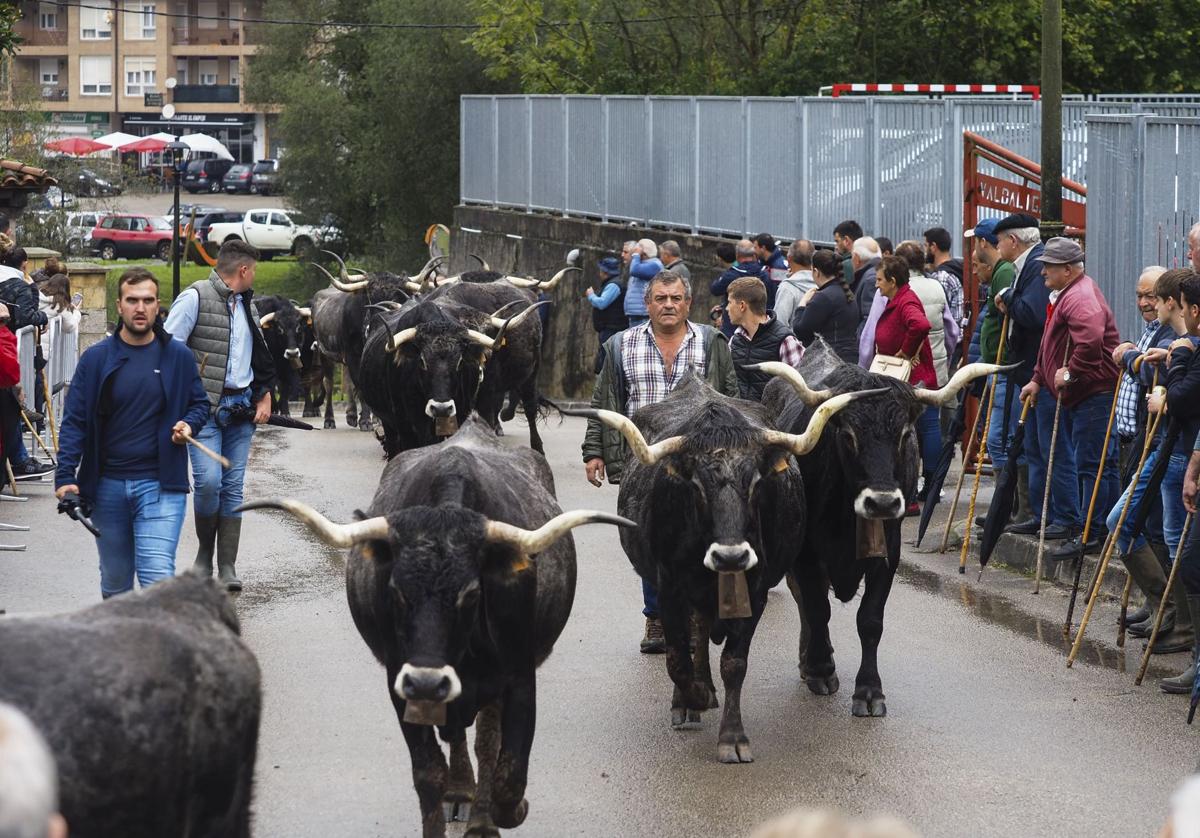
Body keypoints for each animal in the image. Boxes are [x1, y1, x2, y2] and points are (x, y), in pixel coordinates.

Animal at [241, 415, 638, 835]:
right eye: (396, 591)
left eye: (472, 593)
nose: (428, 682)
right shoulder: (401, 681)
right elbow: (429, 771)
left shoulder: (518, 674)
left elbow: (507, 772)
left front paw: (504, 814)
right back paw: (461, 790)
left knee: (486, 740)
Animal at [355, 291, 544, 453]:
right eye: (421, 361)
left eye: (460, 361)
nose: (441, 408)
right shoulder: (407, 424)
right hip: (390, 423)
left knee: (530, 408)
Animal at [566, 369, 878, 758]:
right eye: (697, 486)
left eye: (756, 482)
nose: (731, 556)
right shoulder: (669, 590)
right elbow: (677, 659)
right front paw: (692, 699)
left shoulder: (755, 591)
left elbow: (734, 663)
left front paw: (733, 736)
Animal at [758, 340, 1012, 720]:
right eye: (847, 434)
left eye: (905, 433)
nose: (882, 502)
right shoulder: (806, 554)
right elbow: (817, 609)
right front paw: (820, 670)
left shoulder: (888, 553)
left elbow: (870, 620)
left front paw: (868, 691)